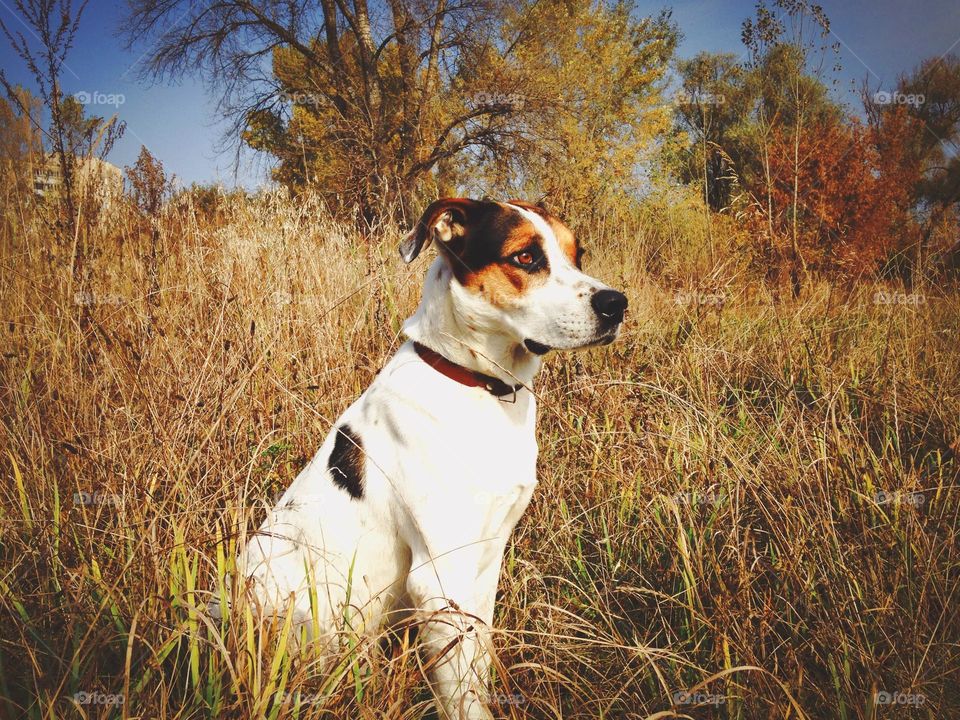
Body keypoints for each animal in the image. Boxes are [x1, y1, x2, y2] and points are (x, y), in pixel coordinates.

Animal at [226, 195, 632, 716]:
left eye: (577, 255)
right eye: (525, 257)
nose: (616, 304)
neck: (479, 387)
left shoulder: (483, 563)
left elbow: (478, 663)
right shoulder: (439, 577)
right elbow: (464, 699)